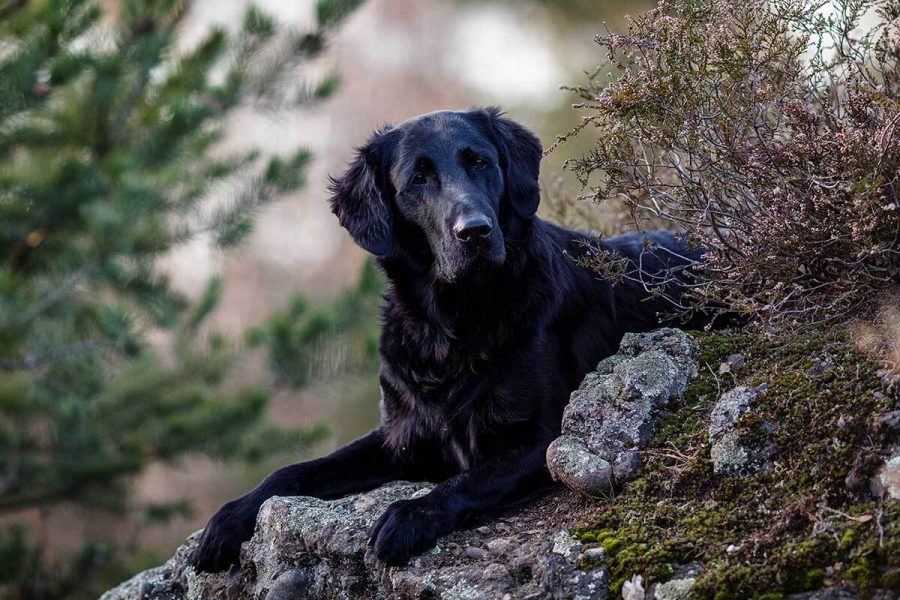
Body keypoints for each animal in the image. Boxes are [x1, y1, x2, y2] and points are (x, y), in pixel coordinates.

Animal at [193, 106, 708, 572]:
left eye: (480, 162)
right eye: (418, 179)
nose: (475, 232)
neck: (450, 324)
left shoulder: (542, 439)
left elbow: (466, 482)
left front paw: (407, 515)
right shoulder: (399, 437)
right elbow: (297, 470)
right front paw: (229, 518)